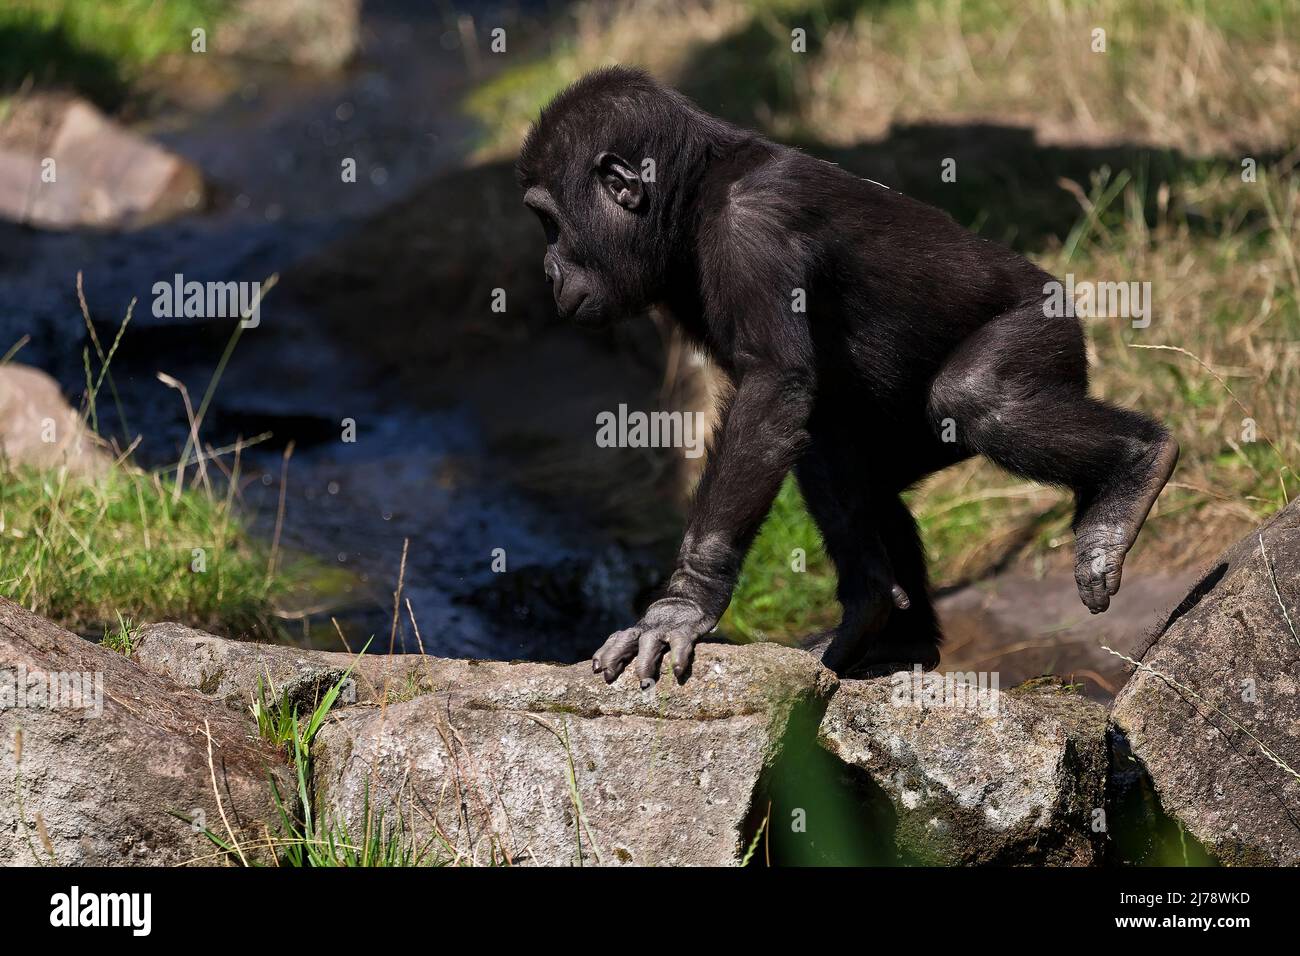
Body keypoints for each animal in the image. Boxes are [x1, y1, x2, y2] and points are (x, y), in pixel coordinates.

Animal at [517, 65, 1180, 686]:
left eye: (551, 224)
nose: (548, 268)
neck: (692, 199)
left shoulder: (752, 228)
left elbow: (773, 388)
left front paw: (682, 604)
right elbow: (807, 422)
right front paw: (864, 601)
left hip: (1046, 330)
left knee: (977, 398)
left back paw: (1133, 470)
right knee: (858, 463)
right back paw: (897, 633)